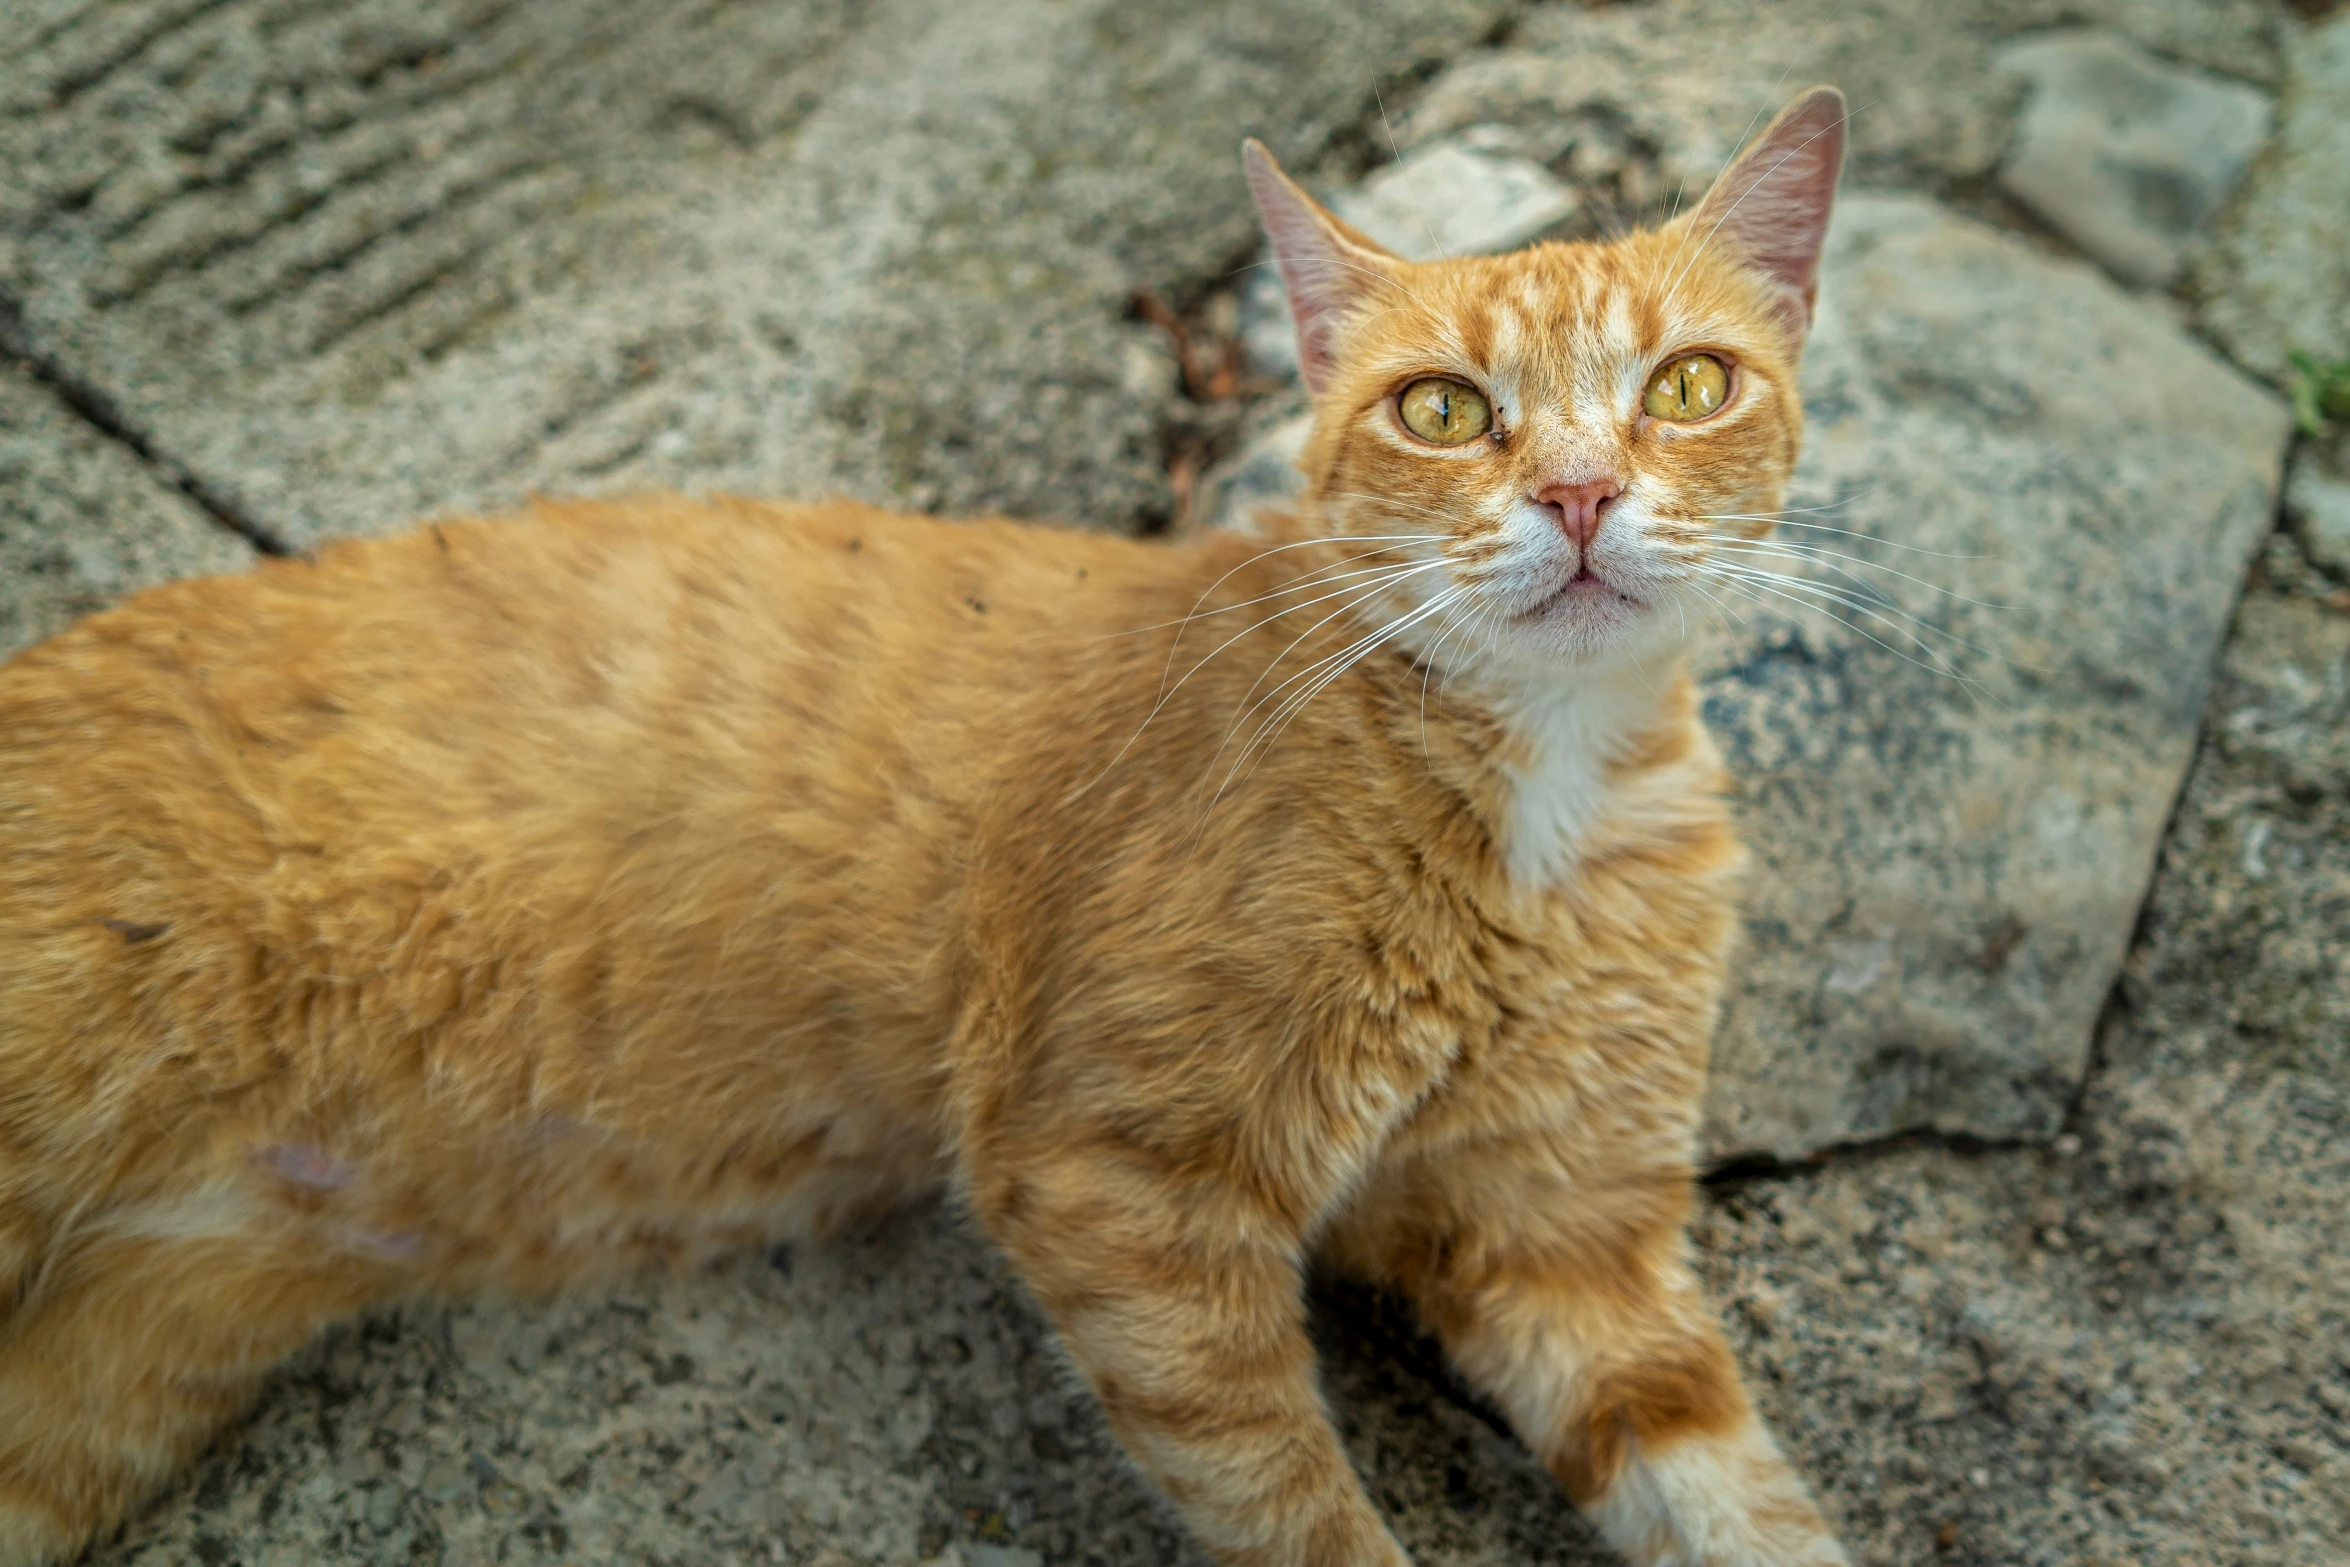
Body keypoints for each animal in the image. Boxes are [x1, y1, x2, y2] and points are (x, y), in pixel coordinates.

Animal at [0, 95, 1851, 1567]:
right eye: (1446, 410)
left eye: (1688, 384)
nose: (1579, 494)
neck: (1541, 789)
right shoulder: (1114, 1178)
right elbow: (1294, 1503)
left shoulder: (1572, 1249)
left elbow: (1740, 1498)